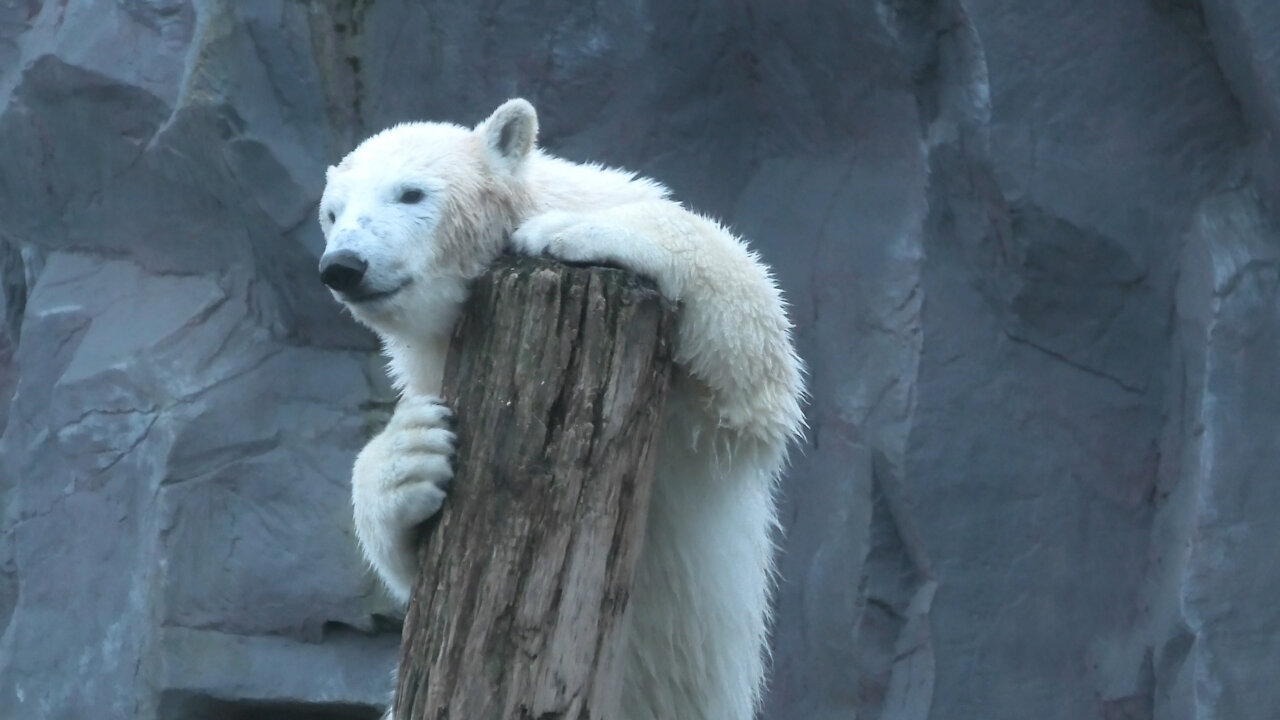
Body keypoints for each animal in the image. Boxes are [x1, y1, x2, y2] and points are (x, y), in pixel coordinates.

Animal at [317, 96, 798, 717]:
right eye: (332, 213)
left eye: (411, 193)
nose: (343, 265)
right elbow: (412, 562)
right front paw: (410, 456)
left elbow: (755, 352)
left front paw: (566, 231)